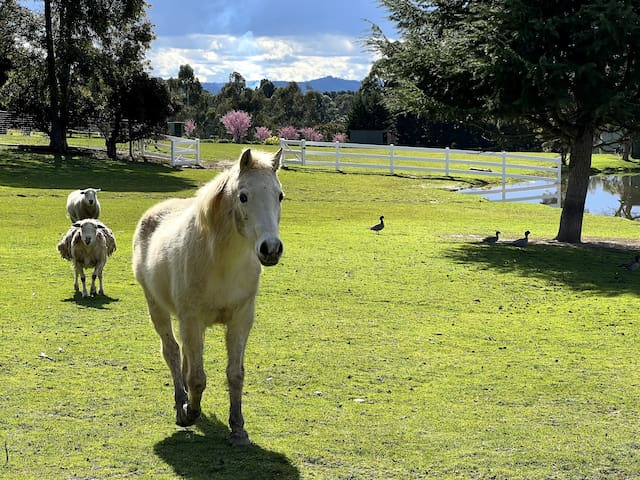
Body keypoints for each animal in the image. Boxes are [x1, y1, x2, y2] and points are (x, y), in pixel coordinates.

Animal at [131, 147, 284, 446]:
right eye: (243, 196)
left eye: (280, 195)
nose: (271, 248)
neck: (221, 262)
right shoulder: (192, 319)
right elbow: (197, 377)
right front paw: (190, 412)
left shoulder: (240, 320)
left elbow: (235, 375)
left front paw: (238, 429)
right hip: (157, 308)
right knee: (172, 352)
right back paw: (181, 405)